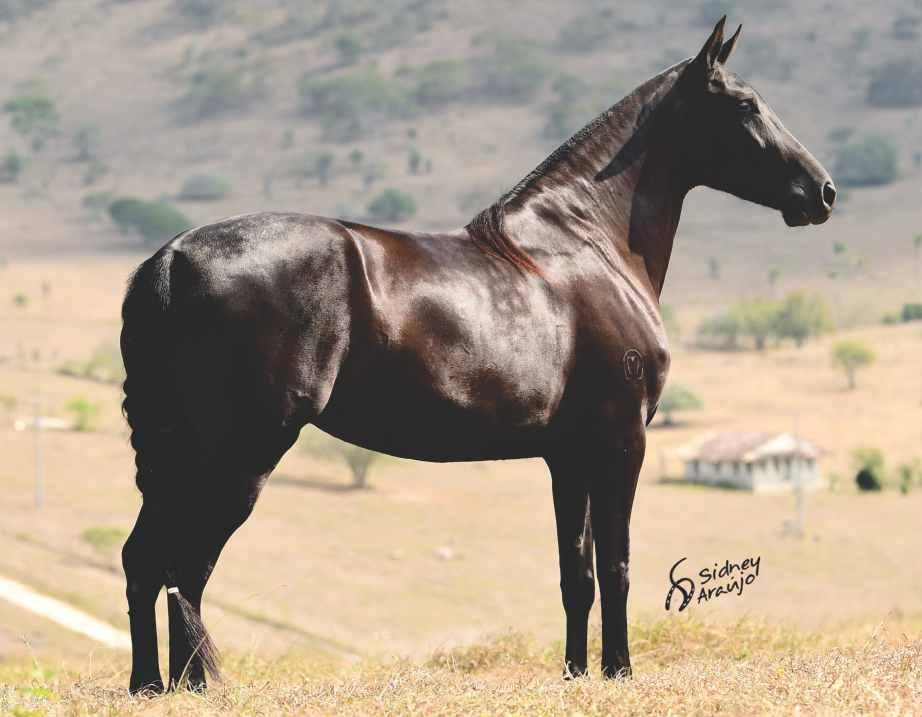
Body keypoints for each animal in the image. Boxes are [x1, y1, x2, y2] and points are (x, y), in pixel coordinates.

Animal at [118, 19, 832, 692]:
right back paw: (195, 684)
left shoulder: (567, 455)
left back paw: (153, 685)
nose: (822, 191)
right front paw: (620, 672)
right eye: (745, 103)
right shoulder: (620, 441)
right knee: (185, 566)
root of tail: (173, 258)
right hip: (241, 453)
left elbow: (577, 571)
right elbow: (618, 563)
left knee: (146, 561)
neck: (587, 244)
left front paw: (577, 674)